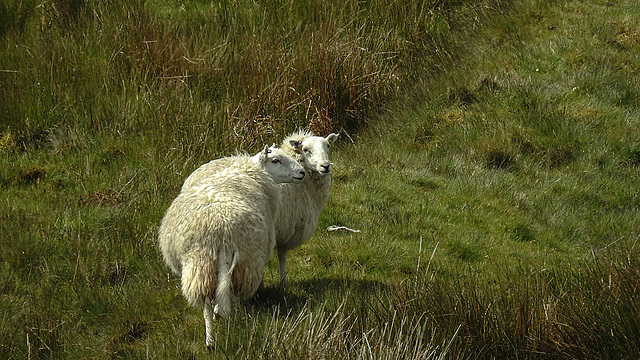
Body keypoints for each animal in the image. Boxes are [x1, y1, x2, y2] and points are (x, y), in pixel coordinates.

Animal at [156, 145, 304, 348]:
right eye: (275, 160)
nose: (302, 172)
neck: (250, 172)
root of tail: (221, 230)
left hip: (201, 264)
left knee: (207, 305)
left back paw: (211, 340)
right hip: (240, 262)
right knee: (231, 295)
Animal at [274, 131, 338, 286]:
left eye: (327, 145)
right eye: (305, 150)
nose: (325, 166)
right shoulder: (286, 231)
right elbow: (282, 256)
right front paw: (283, 281)